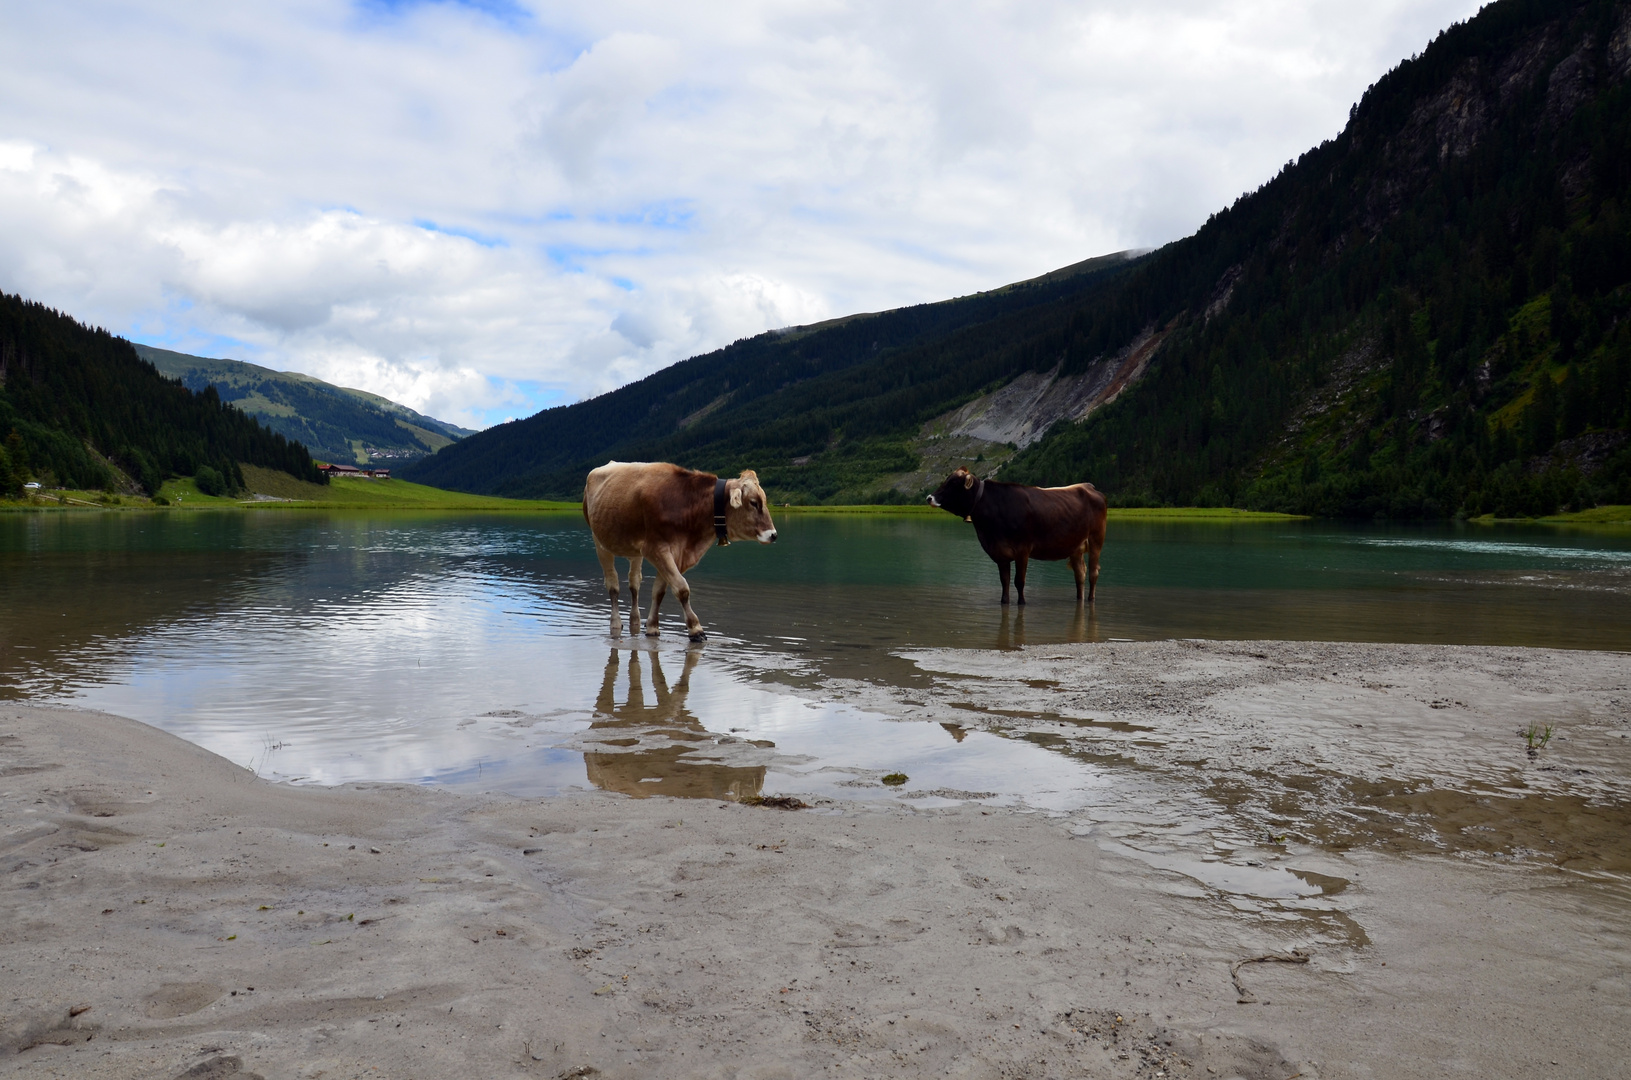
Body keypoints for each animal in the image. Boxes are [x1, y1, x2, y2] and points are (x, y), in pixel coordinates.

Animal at [580, 460, 776, 642]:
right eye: (753, 503)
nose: (773, 535)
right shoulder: (657, 548)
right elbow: (682, 588)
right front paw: (696, 629)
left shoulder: (675, 553)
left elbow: (659, 591)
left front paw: (652, 627)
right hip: (599, 542)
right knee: (613, 584)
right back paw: (615, 623)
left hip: (635, 552)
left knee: (634, 583)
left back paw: (635, 620)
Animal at [932, 466, 1109, 610]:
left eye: (953, 483)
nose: (929, 498)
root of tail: (1087, 486)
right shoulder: (1000, 553)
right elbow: (1004, 581)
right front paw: (1004, 602)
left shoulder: (1023, 549)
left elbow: (1019, 581)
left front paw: (1022, 603)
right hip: (1075, 546)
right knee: (1080, 574)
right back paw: (1080, 599)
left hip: (1096, 538)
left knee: (1093, 572)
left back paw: (1091, 599)